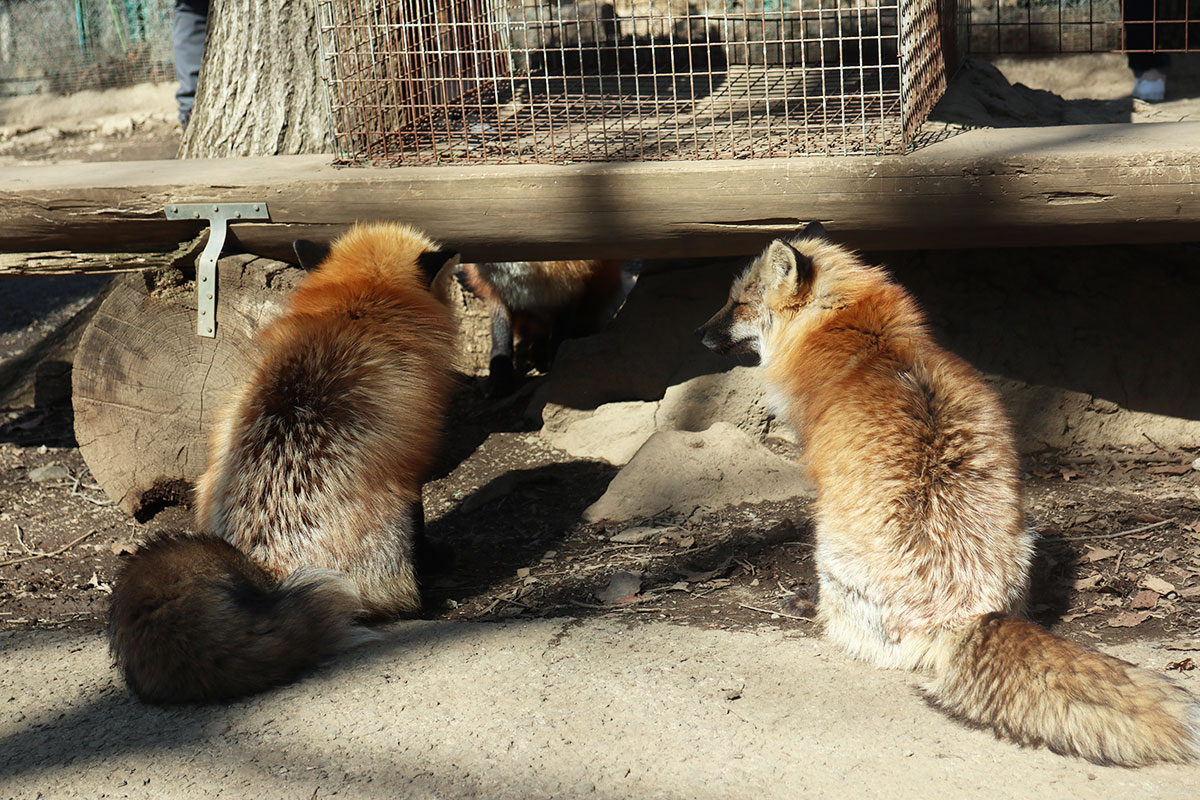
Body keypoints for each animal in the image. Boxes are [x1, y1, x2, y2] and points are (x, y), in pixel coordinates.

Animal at [109, 221, 458, 705]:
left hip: (205, 480)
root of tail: (263, 569)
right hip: (389, 525)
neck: (360, 307)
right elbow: (423, 520)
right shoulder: (412, 465)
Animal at [696, 221, 1200, 767]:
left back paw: (812, 609)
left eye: (736, 303)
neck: (866, 341)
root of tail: (966, 614)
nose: (697, 334)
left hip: (827, 548)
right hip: (1026, 539)